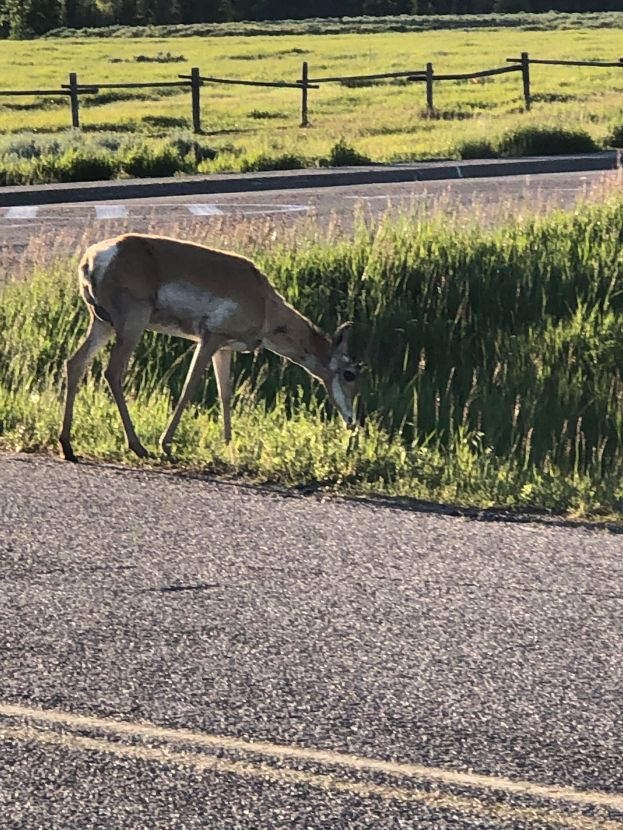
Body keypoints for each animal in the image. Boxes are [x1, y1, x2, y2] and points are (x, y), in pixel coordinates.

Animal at [59, 233, 361, 462]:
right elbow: (189, 386)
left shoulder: (223, 348)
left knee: (75, 363)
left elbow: (224, 393)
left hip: (103, 324)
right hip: (133, 320)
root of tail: (91, 259)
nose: (352, 421)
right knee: (113, 372)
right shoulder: (210, 337)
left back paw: (68, 447)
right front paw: (166, 444)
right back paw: (139, 447)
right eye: (350, 374)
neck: (266, 303)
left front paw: (229, 446)